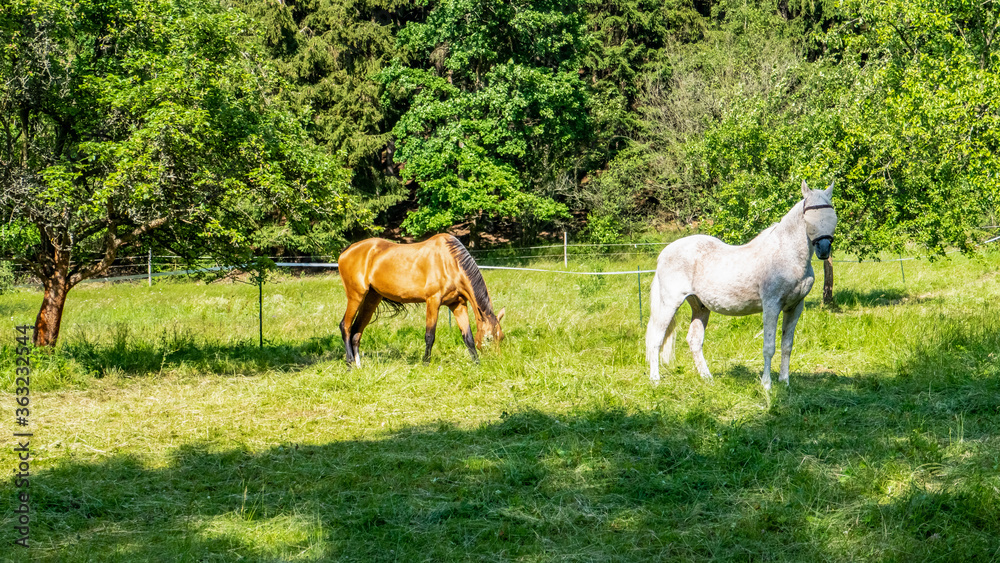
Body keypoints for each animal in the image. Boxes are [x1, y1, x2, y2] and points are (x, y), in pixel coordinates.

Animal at [338, 234, 508, 366]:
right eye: (488, 338)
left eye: (501, 337)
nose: (496, 361)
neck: (450, 262)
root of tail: (347, 251)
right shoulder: (433, 301)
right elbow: (430, 336)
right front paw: (425, 363)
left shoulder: (458, 304)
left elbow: (468, 337)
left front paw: (476, 364)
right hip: (356, 296)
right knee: (345, 326)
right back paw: (349, 363)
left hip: (371, 299)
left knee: (356, 331)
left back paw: (358, 366)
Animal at [640, 182, 836, 392]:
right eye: (809, 215)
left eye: (832, 214)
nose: (824, 249)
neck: (786, 255)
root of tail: (664, 252)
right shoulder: (771, 306)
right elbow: (769, 347)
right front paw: (767, 385)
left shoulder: (794, 307)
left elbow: (787, 346)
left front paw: (785, 382)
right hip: (669, 304)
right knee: (656, 339)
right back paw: (655, 380)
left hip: (700, 307)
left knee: (694, 340)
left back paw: (707, 379)